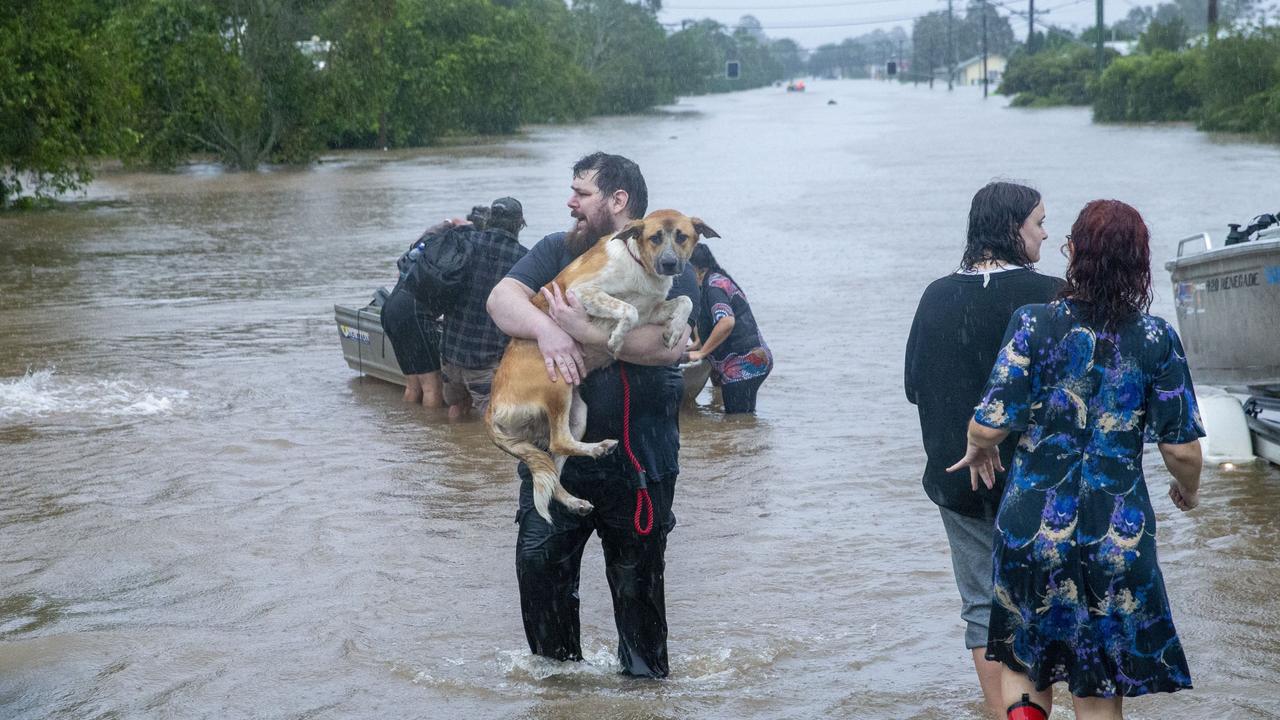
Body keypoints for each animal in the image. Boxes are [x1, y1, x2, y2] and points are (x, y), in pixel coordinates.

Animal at [481, 207, 716, 520]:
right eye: (655, 238)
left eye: (682, 237)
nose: (669, 264)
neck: (640, 268)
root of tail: (492, 407)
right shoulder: (582, 292)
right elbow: (626, 309)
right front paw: (616, 339)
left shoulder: (651, 311)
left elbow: (685, 300)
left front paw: (675, 330)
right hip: (558, 383)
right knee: (557, 442)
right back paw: (599, 449)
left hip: (579, 411)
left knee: (554, 466)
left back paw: (575, 496)